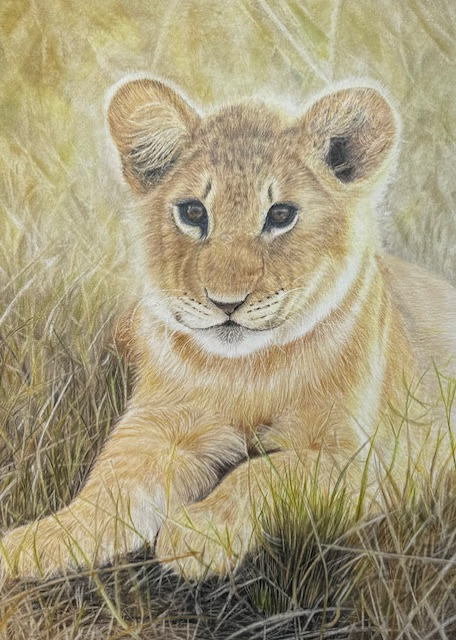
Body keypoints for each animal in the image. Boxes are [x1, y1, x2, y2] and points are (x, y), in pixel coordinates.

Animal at [1, 78, 456, 582]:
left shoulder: (367, 466)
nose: (226, 303)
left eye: (280, 215)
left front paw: (199, 534)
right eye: (194, 213)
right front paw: (36, 544)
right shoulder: (157, 427)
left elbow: (265, 473)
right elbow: (108, 490)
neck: (247, 374)